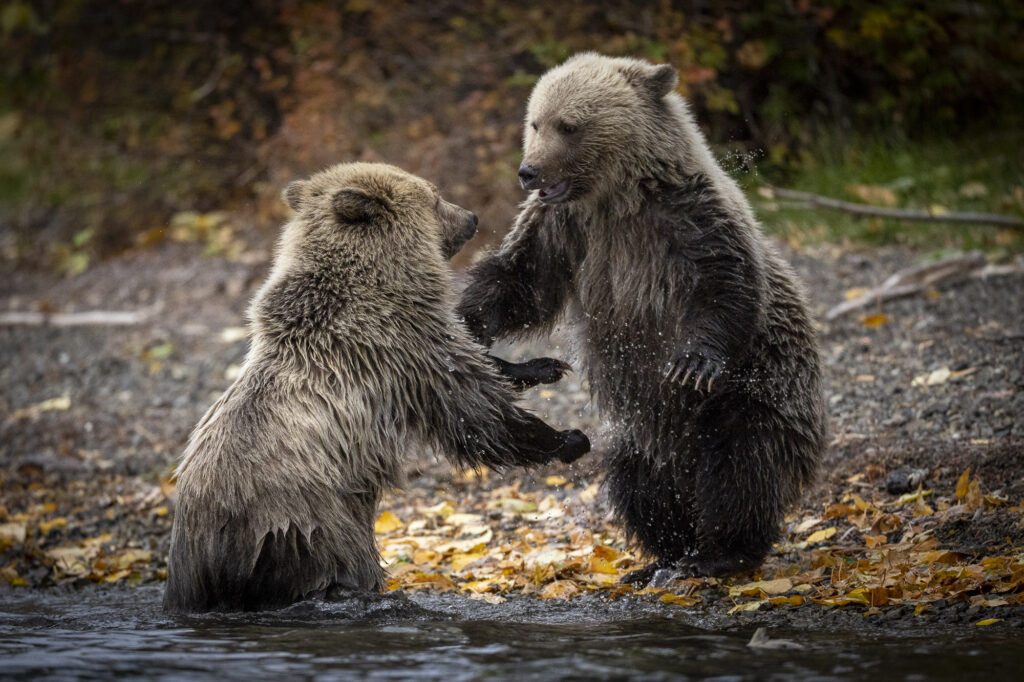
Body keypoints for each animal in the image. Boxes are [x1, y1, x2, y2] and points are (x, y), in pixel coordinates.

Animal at [163, 162, 590, 613]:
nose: (472, 217)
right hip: (307, 524)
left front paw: (543, 366)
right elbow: (474, 411)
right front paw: (568, 438)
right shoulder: (399, 348)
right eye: (434, 197)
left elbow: (477, 364)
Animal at [457, 53, 826, 583]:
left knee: (741, 464)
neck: (616, 197)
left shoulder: (686, 218)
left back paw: (719, 554)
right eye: (535, 121)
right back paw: (663, 557)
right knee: (639, 478)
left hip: (759, 395)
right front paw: (471, 322)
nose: (529, 171)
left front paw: (692, 362)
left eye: (569, 125)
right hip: (645, 429)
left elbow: (725, 281)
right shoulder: (566, 227)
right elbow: (521, 280)